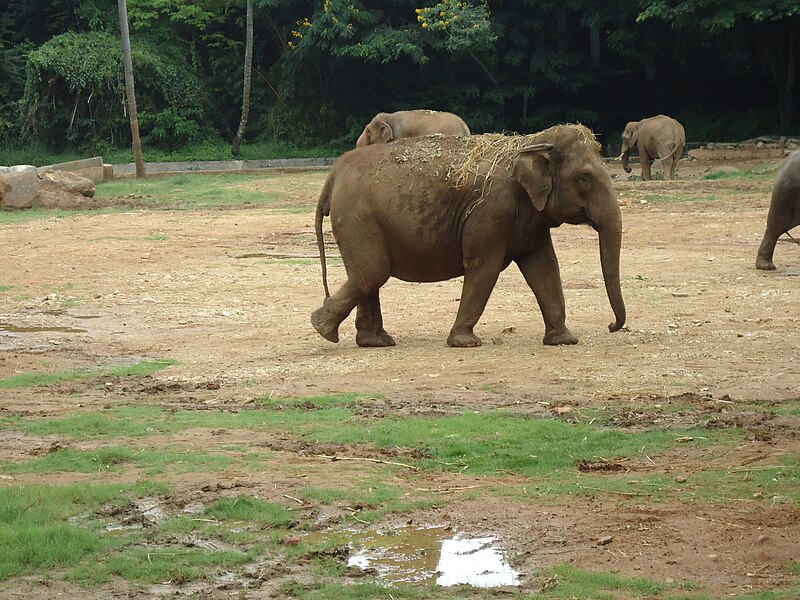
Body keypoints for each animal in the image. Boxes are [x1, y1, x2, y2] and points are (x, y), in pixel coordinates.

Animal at [310, 125, 628, 350]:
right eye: (584, 179)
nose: (611, 326)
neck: (530, 141)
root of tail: (333, 174)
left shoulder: (531, 219)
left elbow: (545, 267)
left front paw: (564, 340)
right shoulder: (492, 210)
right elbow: (484, 266)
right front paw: (466, 343)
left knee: (368, 275)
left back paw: (374, 341)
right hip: (357, 218)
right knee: (371, 273)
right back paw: (322, 329)